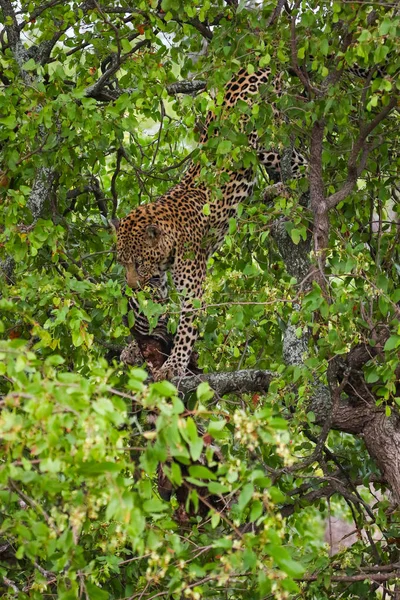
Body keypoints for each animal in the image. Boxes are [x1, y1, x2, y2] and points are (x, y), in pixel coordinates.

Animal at [114, 68, 308, 380]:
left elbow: (185, 329)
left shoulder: (192, 290)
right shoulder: (158, 283)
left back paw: (285, 190)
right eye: (123, 262)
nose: (131, 286)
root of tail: (254, 66)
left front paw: (173, 365)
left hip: (266, 138)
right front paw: (136, 346)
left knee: (302, 161)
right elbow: (155, 312)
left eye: (139, 262)